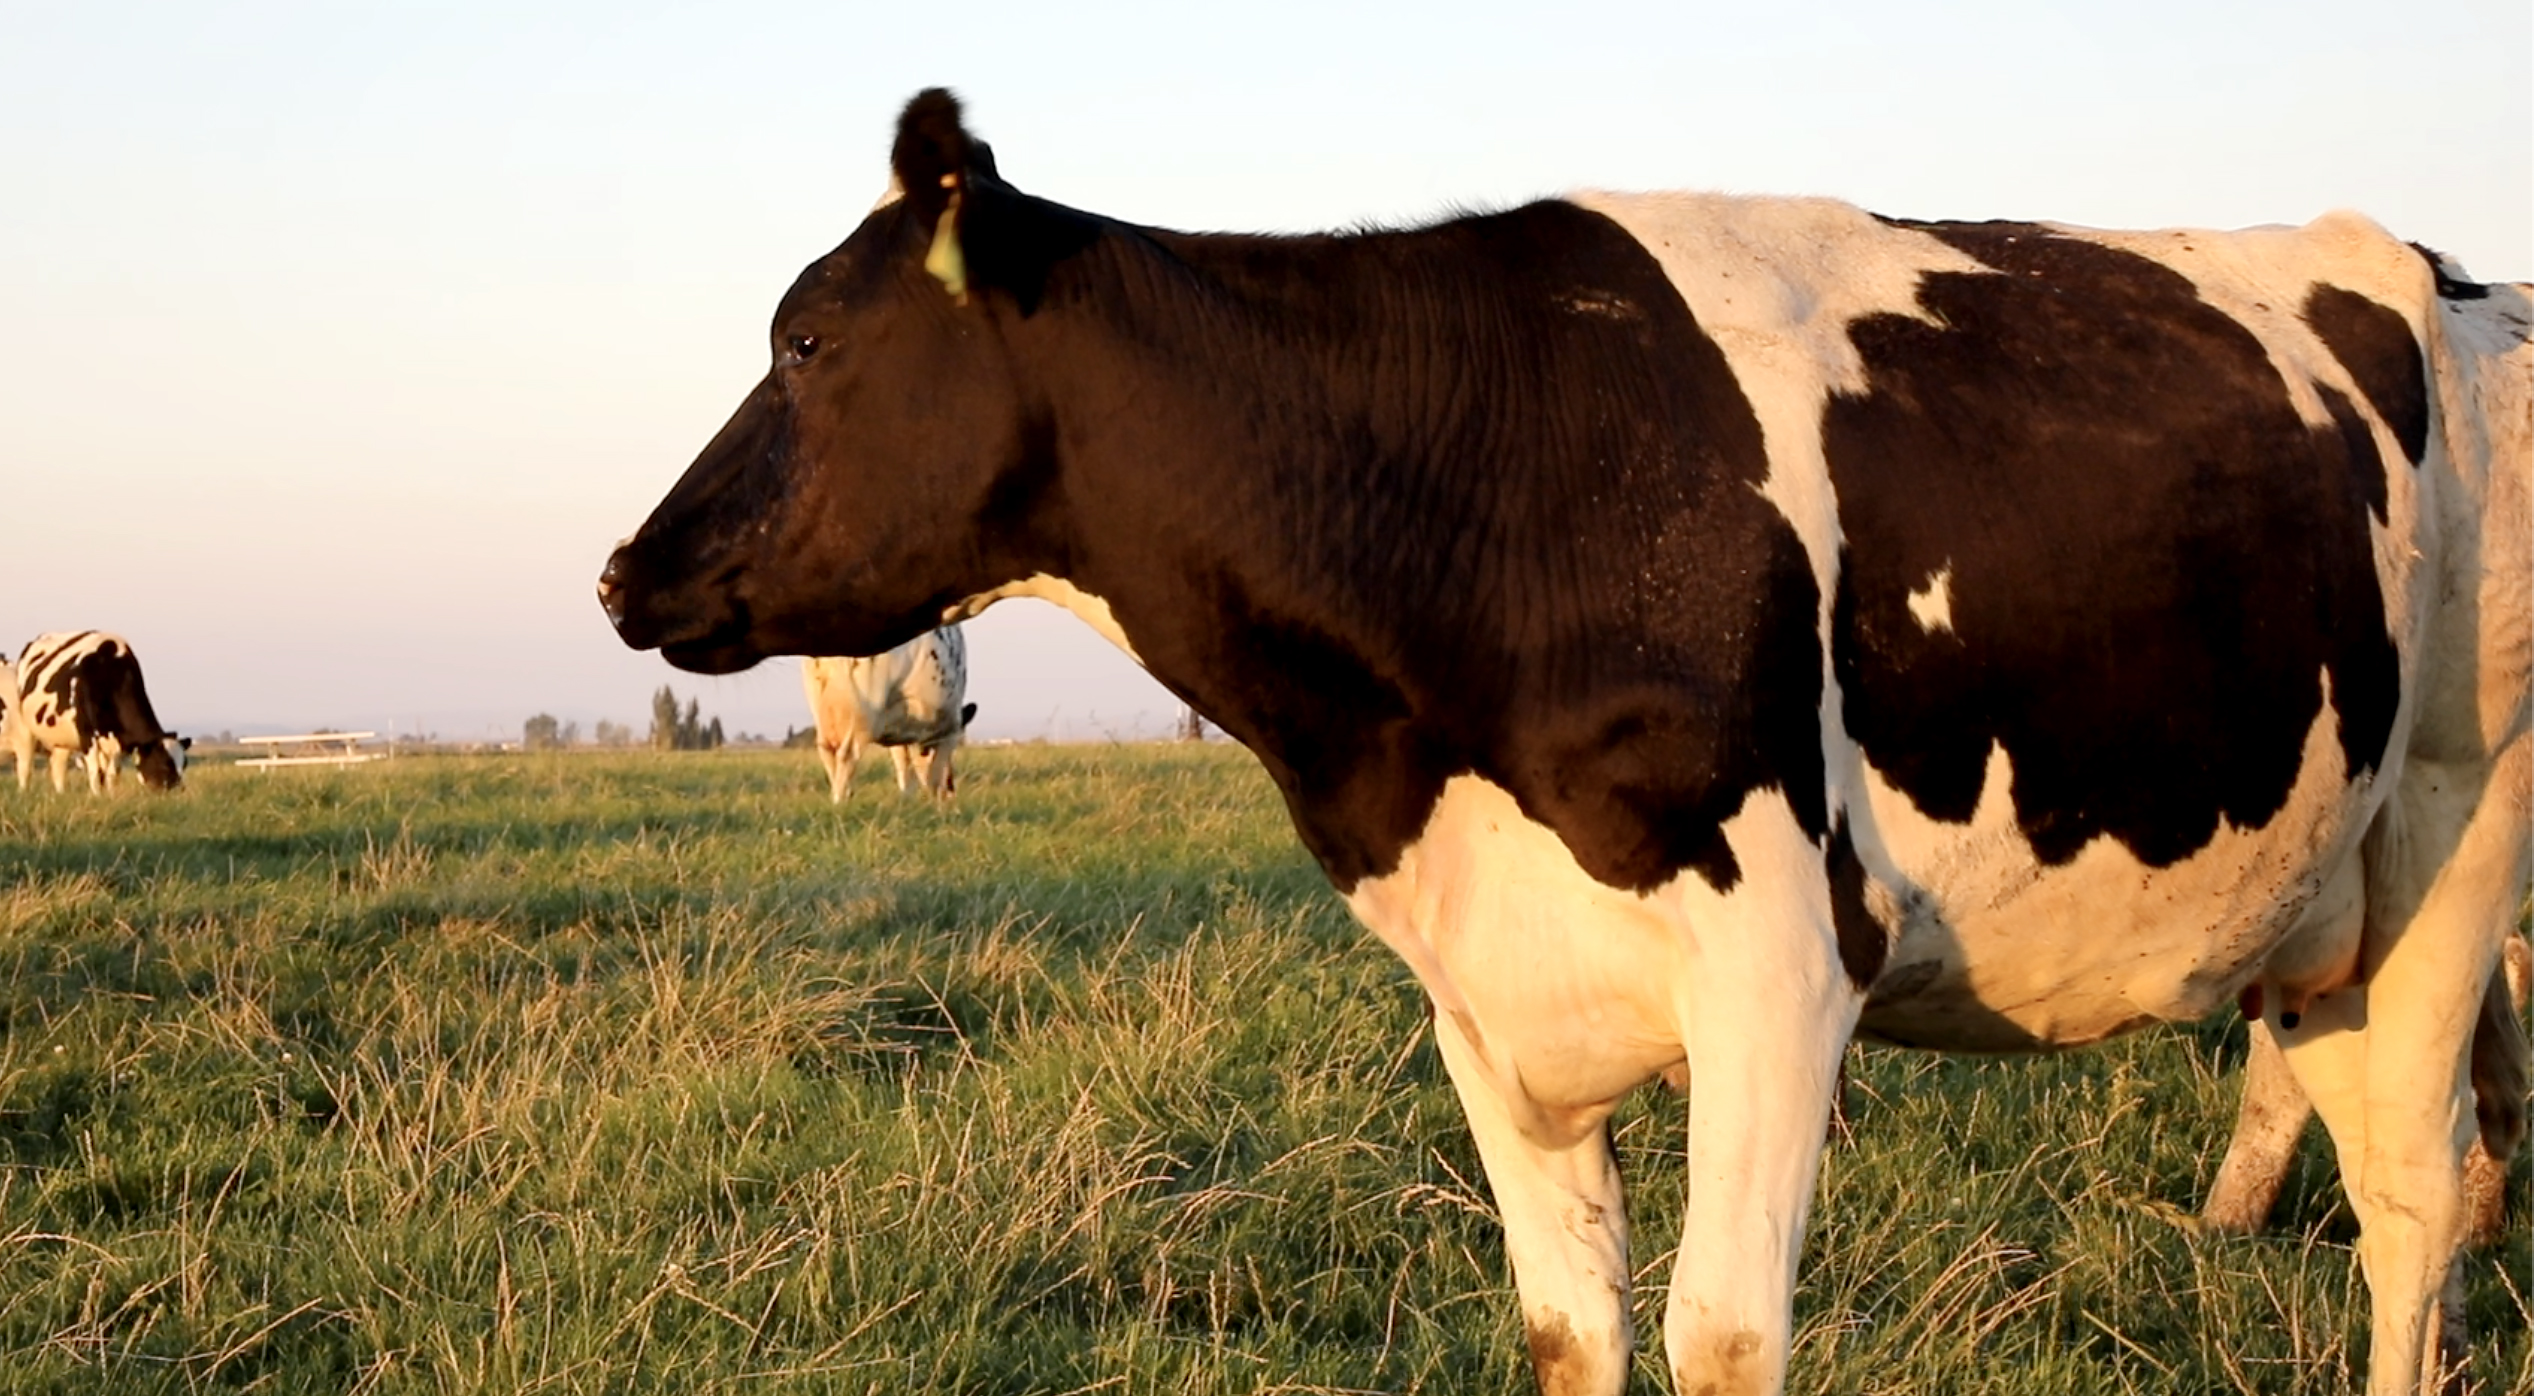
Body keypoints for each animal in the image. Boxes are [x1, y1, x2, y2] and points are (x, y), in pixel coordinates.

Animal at [8, 630, 190, 790]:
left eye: (185, 764)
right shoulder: (87, 736)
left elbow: (111, 775)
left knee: (58, 767)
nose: (178, 791)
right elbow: (95, 773)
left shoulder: (118, 744)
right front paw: (97, 797)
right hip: (24, 727)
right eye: (164, 764)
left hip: (61, 737)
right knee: (25, 766)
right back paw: (24, 792)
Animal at [800, 628, 978, 800]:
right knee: (848, 754)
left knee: (827, 752)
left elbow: (905, 771)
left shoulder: (900, 735)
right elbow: (934, 775)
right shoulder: (950, 727)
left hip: (824, 710)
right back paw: (841, 802)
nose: (951, 789)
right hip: (864, 715)